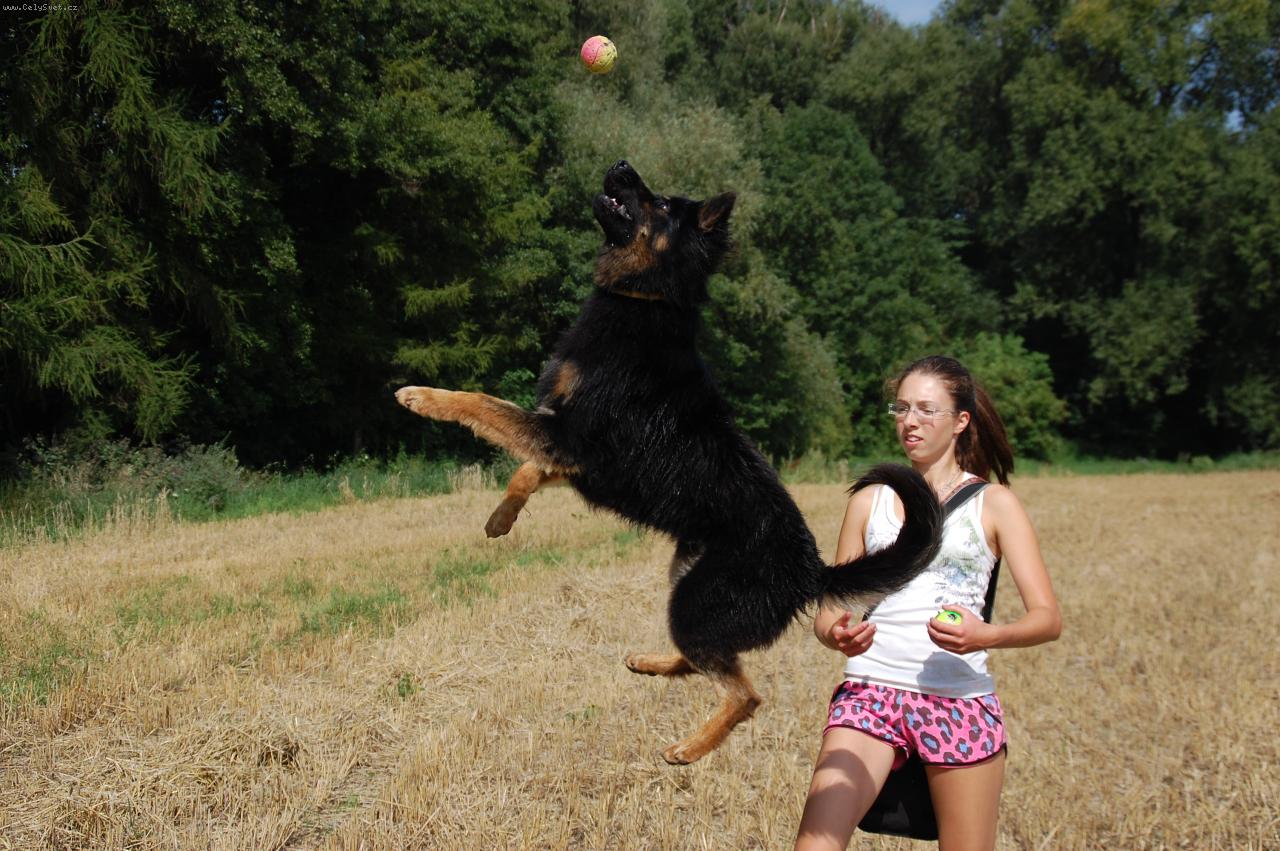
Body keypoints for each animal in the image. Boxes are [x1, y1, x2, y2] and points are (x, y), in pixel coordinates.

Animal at [391, 159, 942, 762]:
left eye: (656, 203)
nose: (621, 166)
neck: (646, 300)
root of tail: (812, 570)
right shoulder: (573, 453)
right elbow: (525, 471)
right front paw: (501, 518)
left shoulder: (564, 438)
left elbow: (480, 404)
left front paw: (420, 395)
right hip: (683, 585)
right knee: (706, 661)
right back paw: (653, 664)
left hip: (696, 602)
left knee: (744, 692)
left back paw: (690, 748)